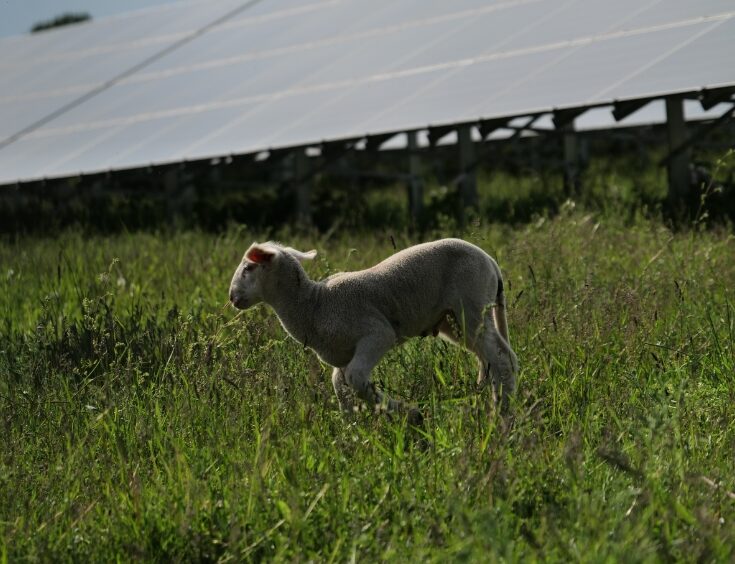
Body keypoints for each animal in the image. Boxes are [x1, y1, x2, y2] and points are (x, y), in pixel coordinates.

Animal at [227, 237, 520, 424]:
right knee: (493, 357)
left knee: (501, 359)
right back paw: (491, 401)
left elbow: (356, 378)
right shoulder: (342, 356)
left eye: (248, 267)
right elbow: (340, 386)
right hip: (454, 320)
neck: (314, 305)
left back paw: (501, 414)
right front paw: (351, 433)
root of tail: (490, 261)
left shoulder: (376, 334)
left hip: (471, 306)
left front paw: (412, 415)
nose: (232, 297)